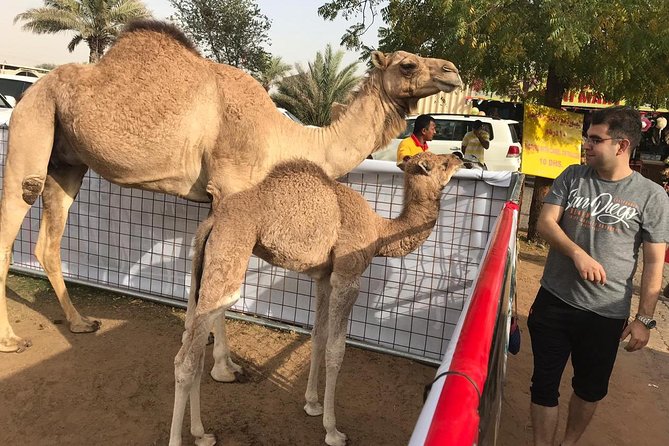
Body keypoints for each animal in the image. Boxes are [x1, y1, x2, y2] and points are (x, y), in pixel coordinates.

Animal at [0, 20, 461, 363]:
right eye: (407, 64)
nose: (452, 71)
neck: (284, 136)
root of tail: (34, 87)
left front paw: (203, 340)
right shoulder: (229, 184)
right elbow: (221, 284)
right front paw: (224, 364)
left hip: (67, 163)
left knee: (48, 242)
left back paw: (80, 322)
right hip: (30, 128)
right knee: (10, 226)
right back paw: (10, 339)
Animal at [169, 151, 462, 446]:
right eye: (442, 164)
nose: (460, 157)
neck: (379, 231)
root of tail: (212, 221)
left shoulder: (323, 278)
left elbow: (318, 336)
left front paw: (312, 403)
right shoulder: (347, 278)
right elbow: (336, 350)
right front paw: (332, 431)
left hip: (203, 262)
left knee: (193, 344)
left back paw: (202, 434)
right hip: (229, 258)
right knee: (186, 360)